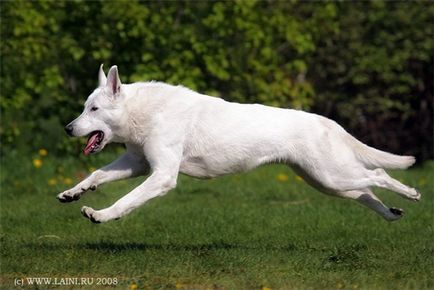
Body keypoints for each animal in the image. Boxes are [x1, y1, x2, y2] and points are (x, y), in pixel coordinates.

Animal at [57, 65, 420, 223]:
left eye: (94, 109)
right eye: (84, 107)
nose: (68, 128)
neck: (142, 112)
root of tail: (327, 121)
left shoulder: (161, 175)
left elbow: (126, 200)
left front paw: (101, 215)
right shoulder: (137, 163)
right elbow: (96, 176)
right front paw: (74, 193)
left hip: (332, 174)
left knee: (377, 175)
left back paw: (410, 194)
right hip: (325, 181)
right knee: (366, 192)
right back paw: (391, 214)